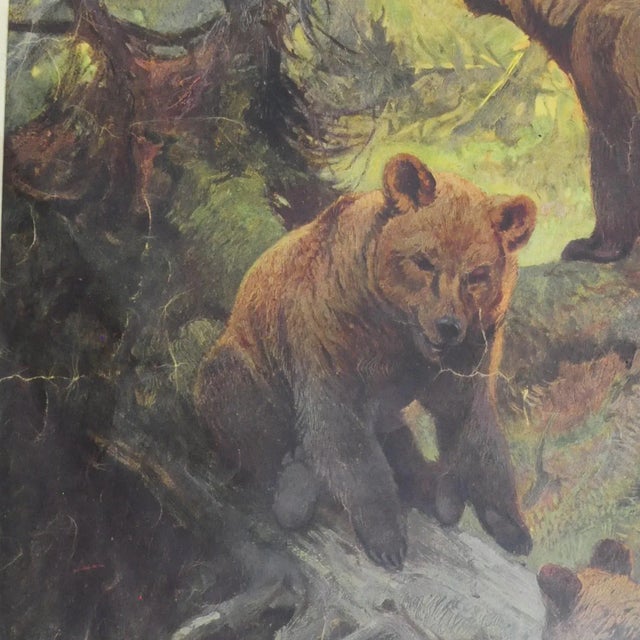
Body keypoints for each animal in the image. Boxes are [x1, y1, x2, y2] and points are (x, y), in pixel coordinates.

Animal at [195, 153, 535, 569]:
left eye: (477, 274)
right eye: (424, 260)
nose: (448, 325)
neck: (399, 333)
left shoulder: (472, 349)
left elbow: (473, 425)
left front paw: (512, 528)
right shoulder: (329, 335)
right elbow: (343, 433)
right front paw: (387, 538)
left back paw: (440, 494)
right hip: (245, 363)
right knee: (241, 410)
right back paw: (294, 489)